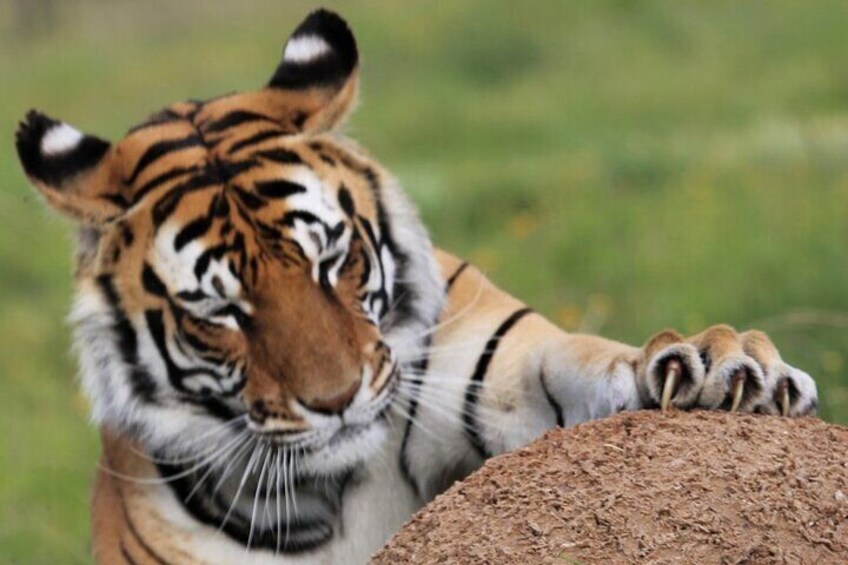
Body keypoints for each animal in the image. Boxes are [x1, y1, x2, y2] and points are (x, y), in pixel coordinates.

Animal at [16, 8, 820, 564]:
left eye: (330, 260)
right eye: (220, 310)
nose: (336, 401)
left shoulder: (500, 370)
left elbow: (586, 363)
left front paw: (721, 365)